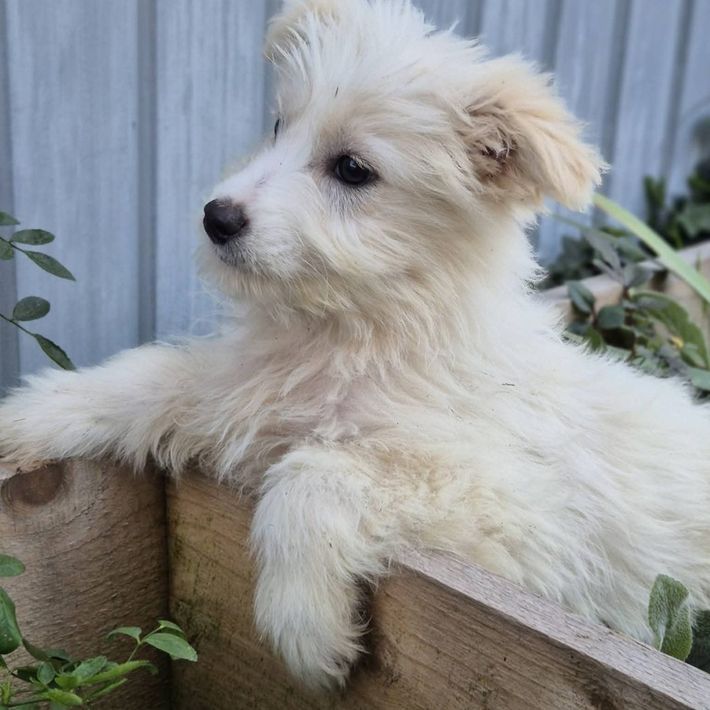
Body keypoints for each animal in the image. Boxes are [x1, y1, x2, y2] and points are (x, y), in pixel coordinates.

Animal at [1, 0, 709, 690]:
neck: (355, 331)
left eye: (351, 169)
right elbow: (146, 375)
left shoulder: (526, 523)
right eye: (279, 126)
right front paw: (29, 416)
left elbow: (315, 474)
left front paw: (306, 631)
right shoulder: (236, 394)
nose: (215, 217)